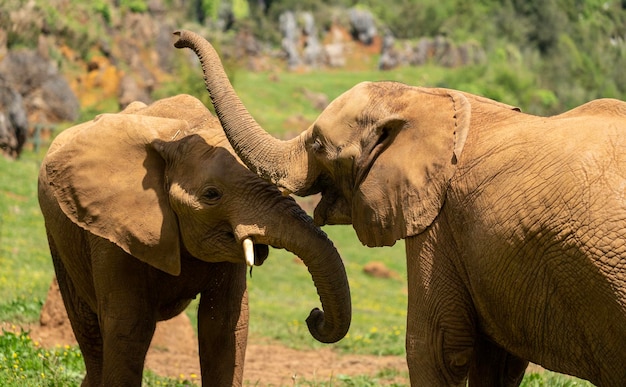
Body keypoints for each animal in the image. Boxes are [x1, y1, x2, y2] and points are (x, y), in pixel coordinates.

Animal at [36, 94, 352, 387]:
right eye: (212, 195)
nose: (314, 315)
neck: (175, 135)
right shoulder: (113, 233)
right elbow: (129, 326)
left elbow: (223, 325)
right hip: (59, 239)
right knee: (90, 334)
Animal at [173, 31, 624, 387]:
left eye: (318, 146)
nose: (178, 37)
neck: (426, 99)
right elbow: (496, 361)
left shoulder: (439, 223)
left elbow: (436, 347)